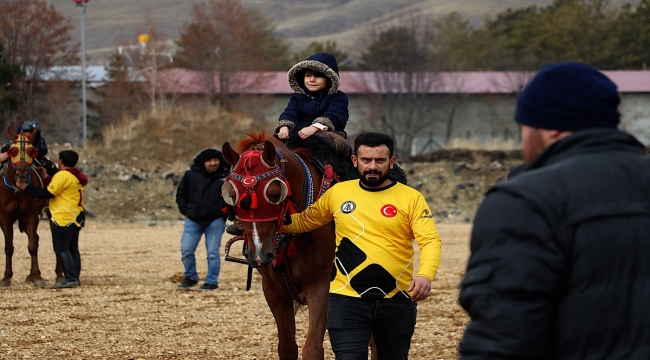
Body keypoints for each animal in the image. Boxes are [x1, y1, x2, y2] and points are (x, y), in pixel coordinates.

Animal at [0, 126, 56, 286]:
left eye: (32, 151)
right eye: (12, 150)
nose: (22, 176)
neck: (17, 190)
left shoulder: (31, 215)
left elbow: (32, 246)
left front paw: (37, 276)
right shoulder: (4, 217)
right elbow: (8, 247)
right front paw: (6, 277)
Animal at [221, 132, 336, 360]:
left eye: (275, 193)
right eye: (233, 195)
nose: (258, 254)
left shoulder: (321, 286)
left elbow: (313, 348)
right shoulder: (274, 291)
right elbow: (287, 347)